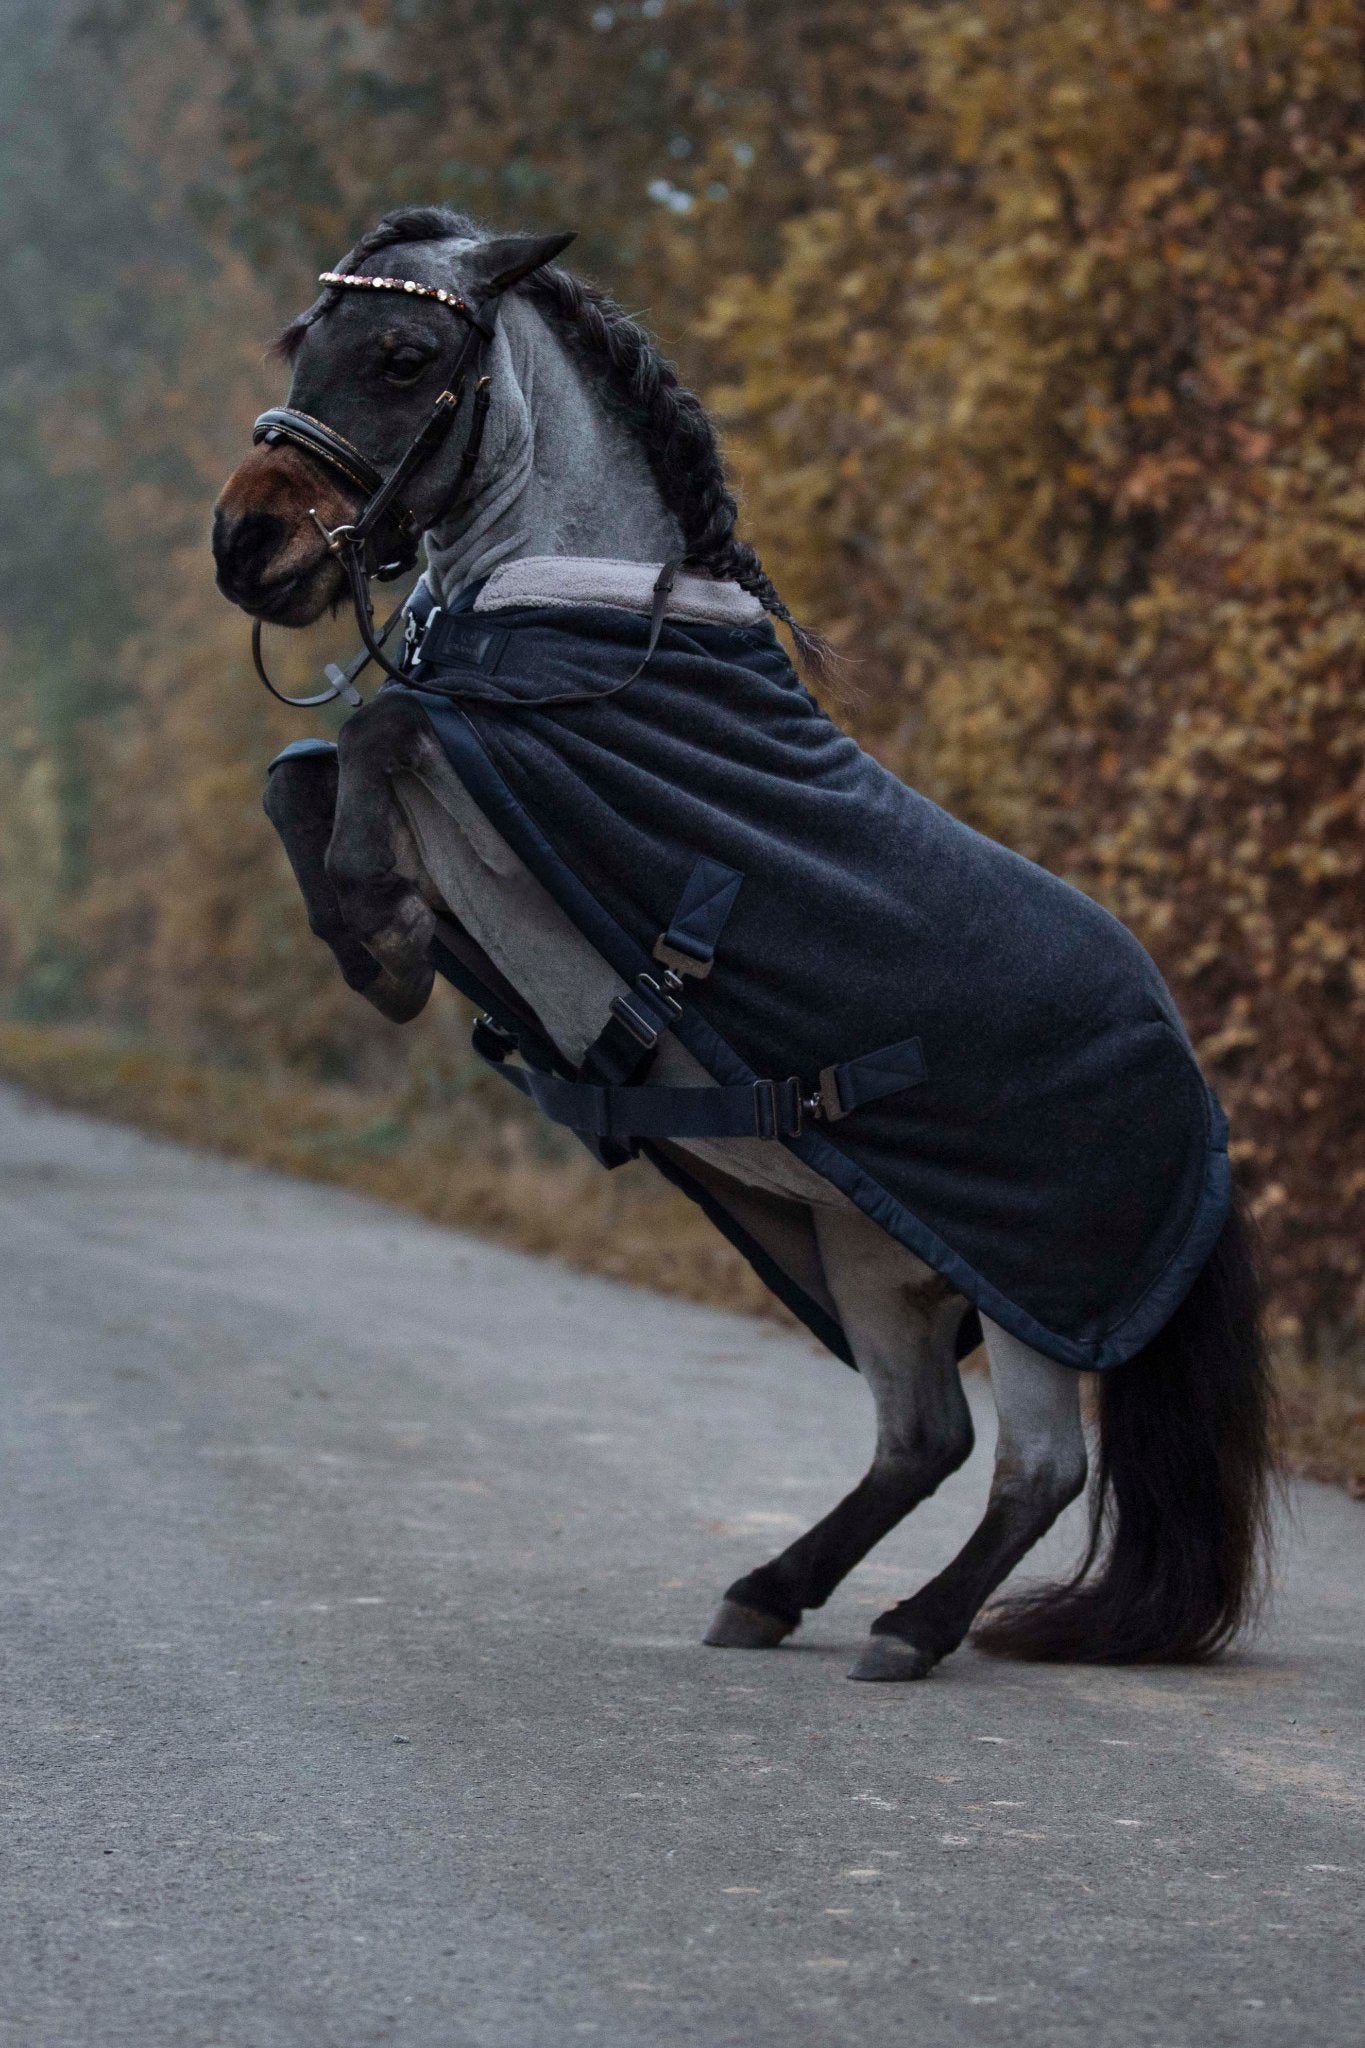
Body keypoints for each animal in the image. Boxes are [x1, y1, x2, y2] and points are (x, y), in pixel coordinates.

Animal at [210, 203, 1268, 1679]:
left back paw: (912, 1629)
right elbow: (300, 772)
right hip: (874, 1252)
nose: (247, 545)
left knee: (1036, 1468)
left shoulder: (502, 798)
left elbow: (379, 731)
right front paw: (380, 950)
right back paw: (769, 1591)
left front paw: (385, 937)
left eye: (407, 355)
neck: (583, 616)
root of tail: (1195, 1089)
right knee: (923, 1438)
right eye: (307, 338)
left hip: (1029, 1290)